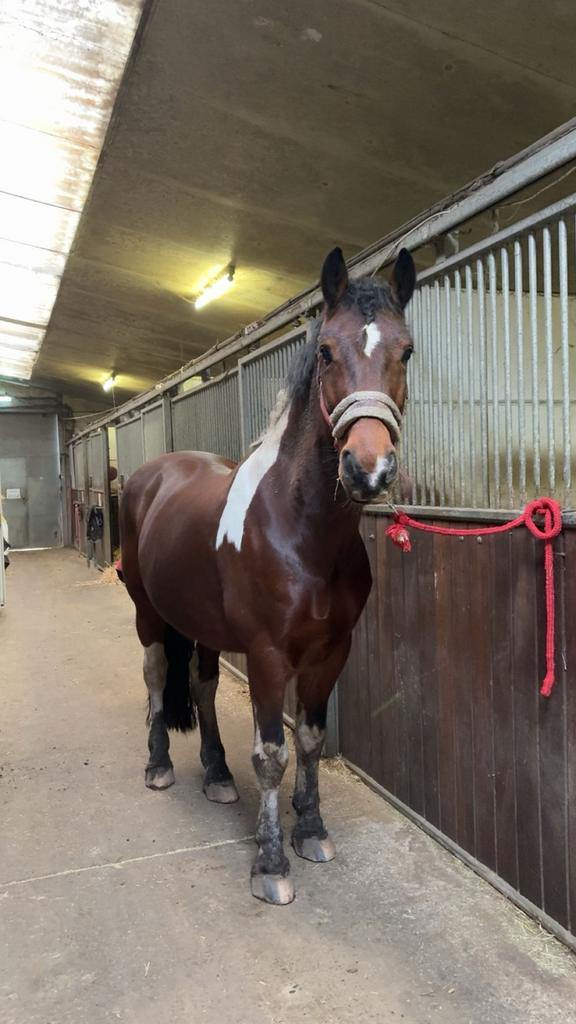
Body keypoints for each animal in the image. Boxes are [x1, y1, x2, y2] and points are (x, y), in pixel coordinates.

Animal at [119, 245, 416, 905]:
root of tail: (152, 474)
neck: (301, 529)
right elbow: (272, 754)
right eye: (326, 350)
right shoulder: (266, 655)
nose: (368, 468)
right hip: (149, 613)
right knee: (157, 676)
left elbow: (309, 740)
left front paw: (311, 831)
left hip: (200, 623)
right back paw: (159, 766)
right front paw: (271, 864)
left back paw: (215, 773)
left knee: (201, 685)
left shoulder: (331, 652)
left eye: (406, 350)